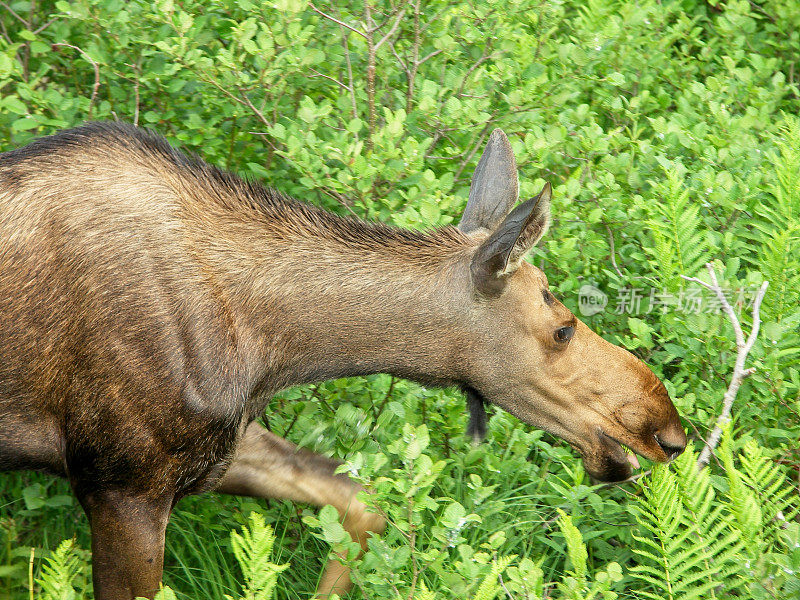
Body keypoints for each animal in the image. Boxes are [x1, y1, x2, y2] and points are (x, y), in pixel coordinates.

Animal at [1, 124, 688, 596]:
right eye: (563, 328)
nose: (669, 430)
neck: (274, 348)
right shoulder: (123, 481)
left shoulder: (216, 446)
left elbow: (364, 503)